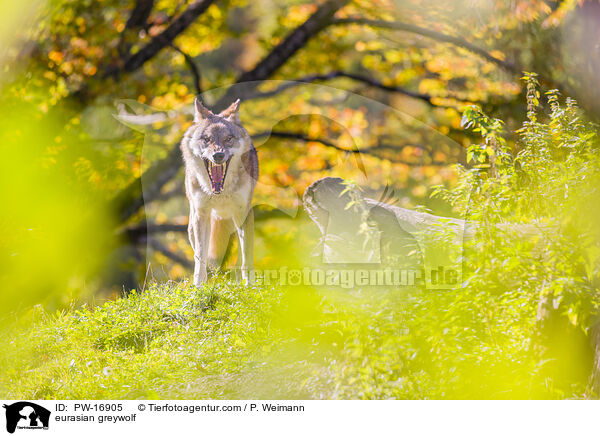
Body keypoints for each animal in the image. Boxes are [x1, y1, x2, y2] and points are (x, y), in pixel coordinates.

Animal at [182, 98, 258, 286]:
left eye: (228, 139)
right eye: (206, 139)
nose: (218, 155)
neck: (220, 193)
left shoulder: (244, 212)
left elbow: (247, 257)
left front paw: (250, 286)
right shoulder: (201, 214)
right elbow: (200, 257)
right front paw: (198, 287)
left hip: (236, 221)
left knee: (239, 257)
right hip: (194, 224)